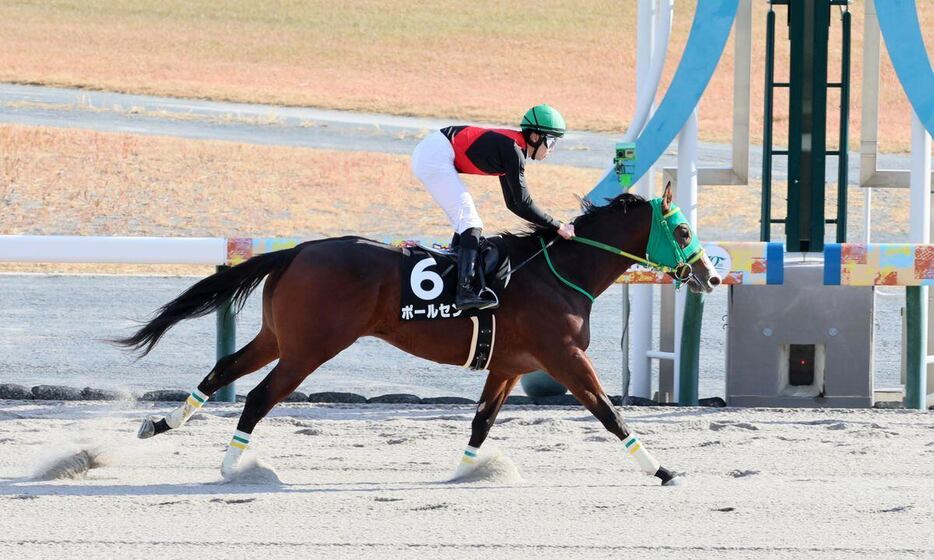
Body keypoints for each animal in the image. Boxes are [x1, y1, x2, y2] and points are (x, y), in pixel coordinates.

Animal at [115, 185, 716, 486]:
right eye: (684, 229)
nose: (710, 275)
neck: (557, 271)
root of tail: (299, 250)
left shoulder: (508, 366)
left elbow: (482, 422)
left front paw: (466, 474)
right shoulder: (564, 357)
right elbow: (609, 413)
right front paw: (662, 469)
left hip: (278, 337)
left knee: (222, 371)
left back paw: (161, 423)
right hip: (311, 348)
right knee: (259, 396)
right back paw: (232, 466)